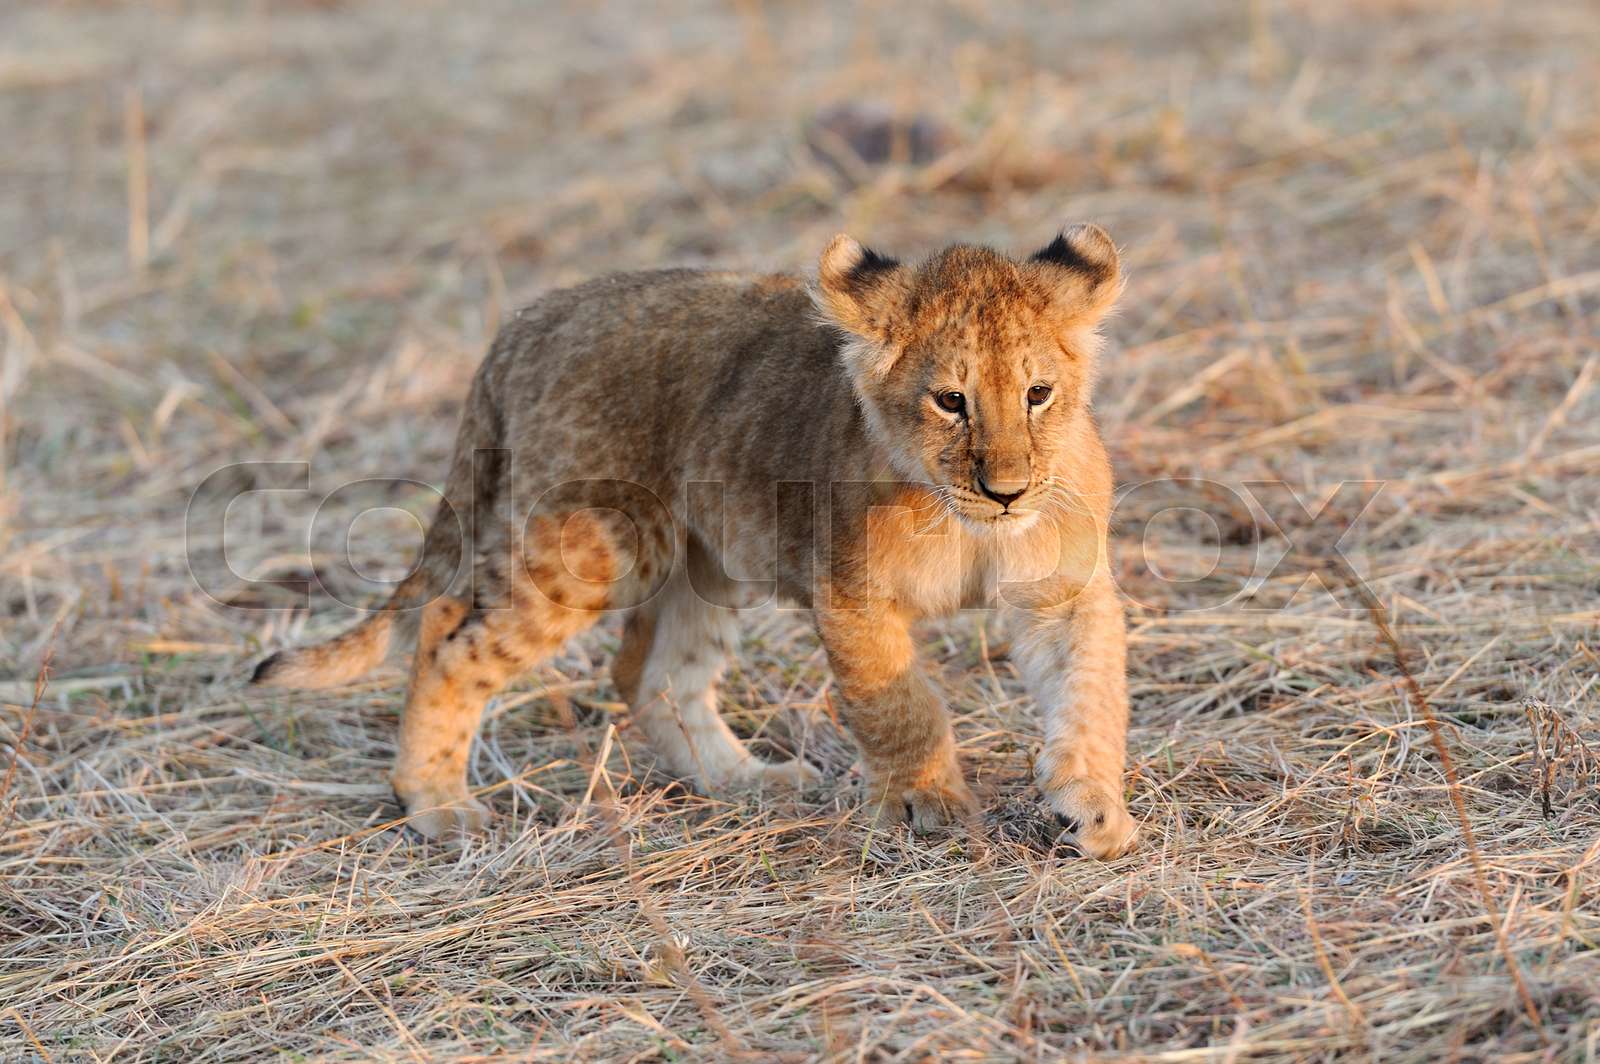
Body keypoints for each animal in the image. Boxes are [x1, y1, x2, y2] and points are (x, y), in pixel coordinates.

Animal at [252, 224, 1138, 859]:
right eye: (950, 401)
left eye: (1038, 393)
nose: (1007, 490)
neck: (964, 522)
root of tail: (532, 319)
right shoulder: (851, 594)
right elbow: (900, 706)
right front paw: (931, 804)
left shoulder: (1063, 591)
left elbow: (1091, 693)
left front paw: (1092, 810)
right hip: (599, 545)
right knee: (447, 634)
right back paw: (438, 808)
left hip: (705, 559)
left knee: (653, 675)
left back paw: (747, 782)